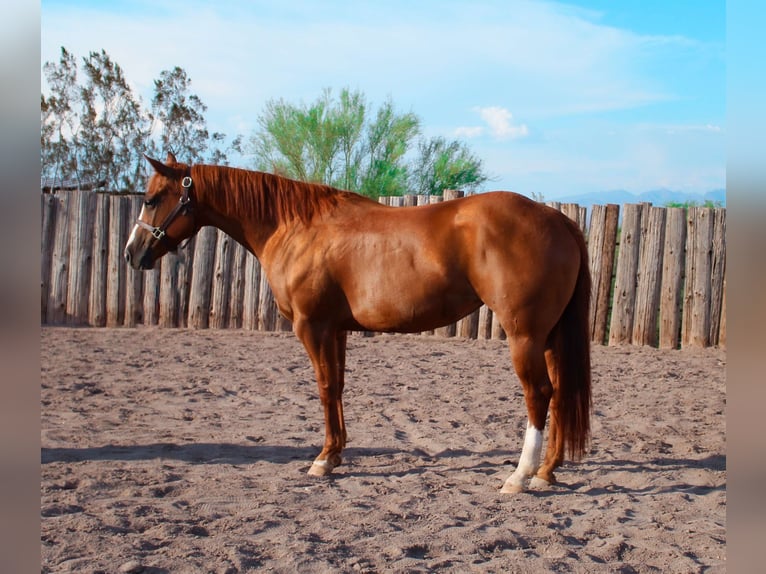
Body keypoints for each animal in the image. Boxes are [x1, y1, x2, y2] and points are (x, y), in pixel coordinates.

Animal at [126, 154, 592, 496]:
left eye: (152, 198)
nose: (132, 254)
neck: (295, 227)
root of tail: (558, 219)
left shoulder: (312, 326)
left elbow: (323, 387)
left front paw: (321, 460)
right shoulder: (336, 329)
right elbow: (337, 387)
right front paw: (334, 455)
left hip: (524, 335)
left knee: (539, 394)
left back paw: (520, 476)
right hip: (548, 337)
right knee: (559, 393)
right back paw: (547, 472)